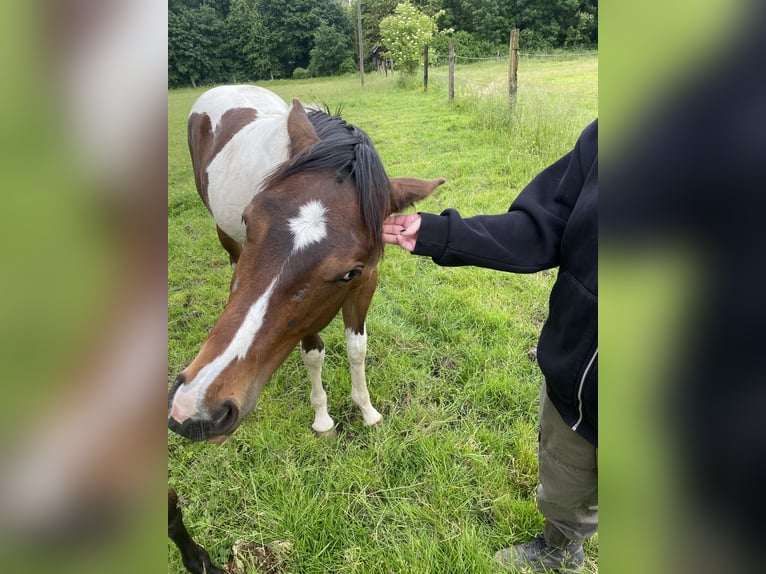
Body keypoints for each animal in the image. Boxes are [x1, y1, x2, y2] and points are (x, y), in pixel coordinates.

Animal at [168, 85, 444, 446]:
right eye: (248, 219)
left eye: (350, 273)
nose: (194, 407)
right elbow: (314, 354)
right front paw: (322, 418)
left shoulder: (365, 281)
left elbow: (357, 348)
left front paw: (367, 410)